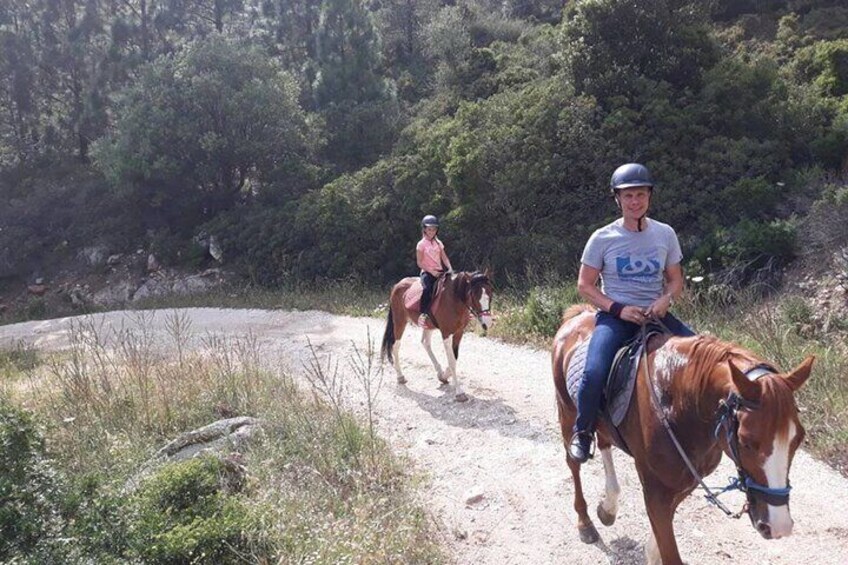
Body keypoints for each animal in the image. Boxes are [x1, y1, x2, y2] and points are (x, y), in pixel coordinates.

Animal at [382, 270, 494, 398]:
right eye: (474, 295)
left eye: (490, 293)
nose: (487, 323)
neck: (454, 299)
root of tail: (398, 284)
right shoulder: (446, 333)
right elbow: (452, 361)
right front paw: (459, 392)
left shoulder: (459, 332)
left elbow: (454, 357)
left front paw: (444, 376)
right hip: (400, 321)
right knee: (396, 346)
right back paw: (400, 376)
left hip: (427, 326)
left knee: (425, 343)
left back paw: (439, 372)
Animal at [552, 304, 812, 564]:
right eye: (746, 441)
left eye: (798, 439)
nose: (779, 525)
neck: (679, 403)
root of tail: (578, 315)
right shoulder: (655, 490)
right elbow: (669, 549)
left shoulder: (686, 481)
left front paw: (650, 553)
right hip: (568, 414)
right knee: (573, 462)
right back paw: (585, 523)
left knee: (605, 443)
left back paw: (608, 508)